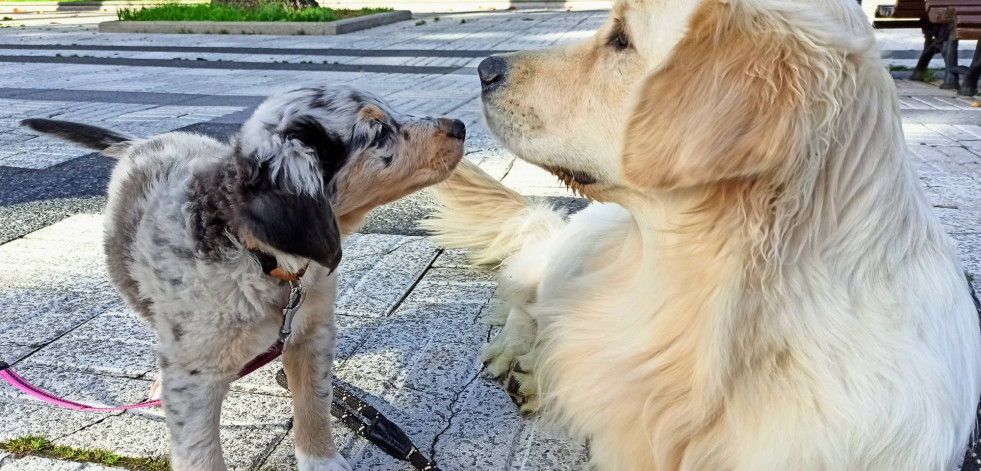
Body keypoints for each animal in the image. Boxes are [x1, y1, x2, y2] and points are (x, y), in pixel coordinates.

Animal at [22, 85, 468, 471]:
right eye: (378, 132)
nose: (461, 125)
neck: (263, 260)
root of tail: (141, 142)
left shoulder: (312, 333)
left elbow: (314, 405)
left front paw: (321, 460)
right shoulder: (195, 380)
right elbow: (200, 454)